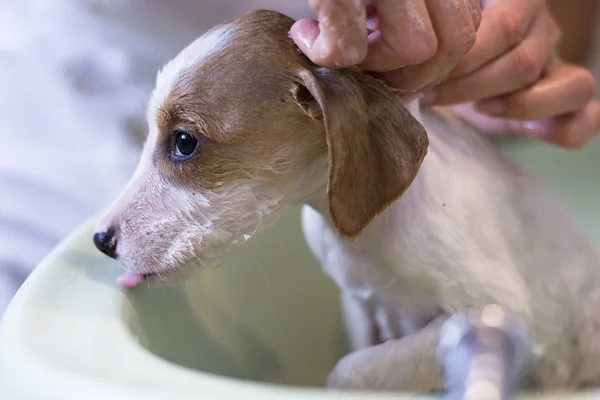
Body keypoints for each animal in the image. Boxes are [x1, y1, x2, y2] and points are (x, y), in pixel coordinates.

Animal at [91, 9, 600, 394]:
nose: (99, 240)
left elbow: (354, 370)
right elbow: (359, 352)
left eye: (184, 142)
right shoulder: (359, 303)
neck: (373, 235)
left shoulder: (502, 314)